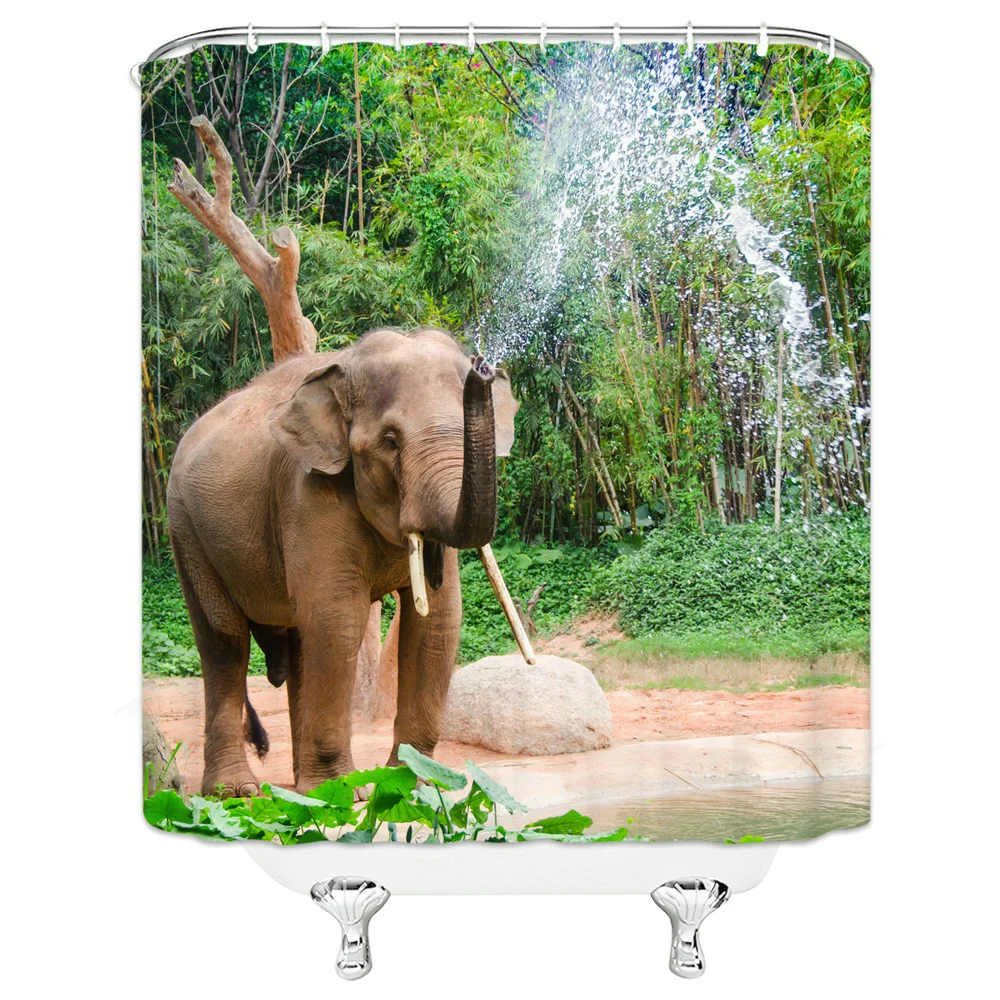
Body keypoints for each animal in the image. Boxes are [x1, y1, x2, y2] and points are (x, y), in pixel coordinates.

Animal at [166, 328, 518, 797]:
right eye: (390, 441)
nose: (483, 367)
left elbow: (437, 623)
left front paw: (413, 785)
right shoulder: (307, 493)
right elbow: (338, 618)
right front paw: (342, 791)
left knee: (298, 645)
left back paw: (301, 790)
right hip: (186, 531)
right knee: (224, 640)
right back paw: (239, 792)